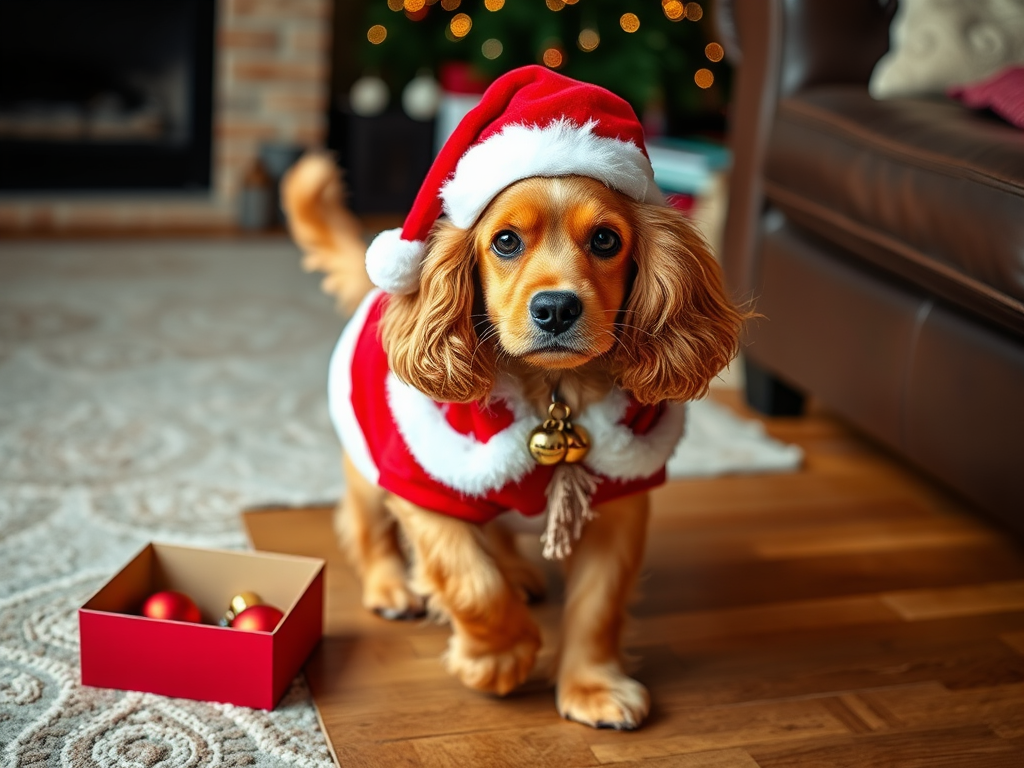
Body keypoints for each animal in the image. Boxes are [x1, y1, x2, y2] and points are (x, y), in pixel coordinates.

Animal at [280, 64, 745, 729]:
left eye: (606, 240)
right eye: (504, 242)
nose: (555, 309)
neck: (553, 395)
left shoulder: (621, 502)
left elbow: (598, 604)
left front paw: (592, 686)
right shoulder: (426, 491)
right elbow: (472, 583)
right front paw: (499, 658)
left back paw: (519, 571)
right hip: (369, 460)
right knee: (365, 525)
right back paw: (391, 585)